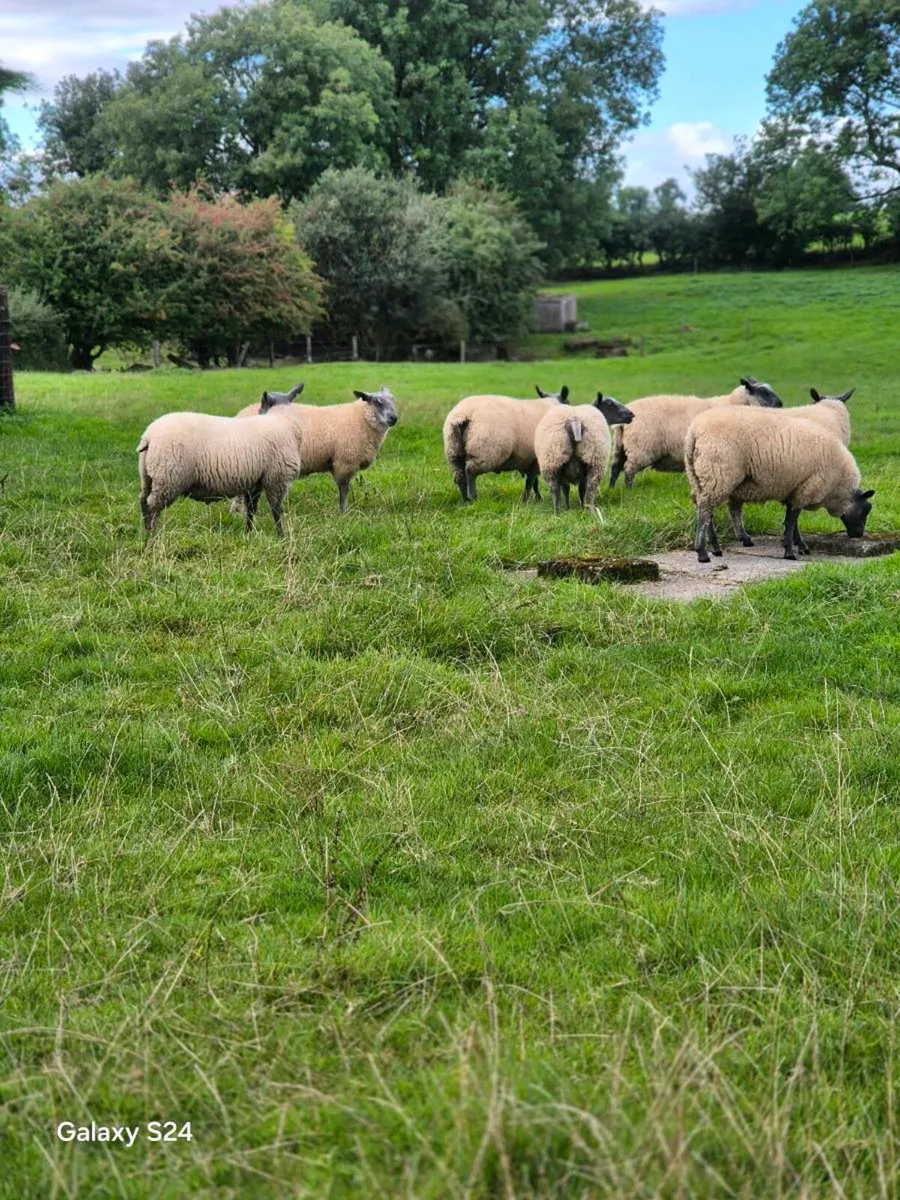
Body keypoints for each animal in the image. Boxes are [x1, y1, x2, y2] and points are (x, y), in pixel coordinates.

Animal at [137, 410, 305, 537]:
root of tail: (149, 436)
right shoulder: (277, 479)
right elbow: (276, 509)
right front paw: (281, 536)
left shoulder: (255, 481)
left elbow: (251, 509)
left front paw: (248, 533)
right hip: (168, 478)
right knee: (152, 506)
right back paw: (152, 535)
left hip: (148, 476)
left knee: (143, 501)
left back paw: (146, 532)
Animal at [234, 386, 398, 513]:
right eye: (377, 402)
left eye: (393, 400)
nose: (394, 418)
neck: (361, 418)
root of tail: (241, 413)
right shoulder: (344, 463)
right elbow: (344, 490)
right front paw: (342, 513)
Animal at [609, 377, 784, 489]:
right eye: (764, 392)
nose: (781, 404)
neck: (733, 403)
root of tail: (623, 422)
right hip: (640, 448)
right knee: (628, 470)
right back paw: (629, 490)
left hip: (621, 445)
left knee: (615, 467)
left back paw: (612, 489)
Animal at [684, 405, 874, 563]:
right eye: (865, 510)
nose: (859, 534)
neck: (837, 490)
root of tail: (694, 432)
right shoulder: (807, 488)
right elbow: (791, 521)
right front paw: (790, 551)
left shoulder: (794, 489)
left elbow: (792, 521)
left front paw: (799, 545)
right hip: (718, 474)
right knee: (706, 510)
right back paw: (703, 552)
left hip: (699, 476)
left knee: (707, 509)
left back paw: (716, 548)